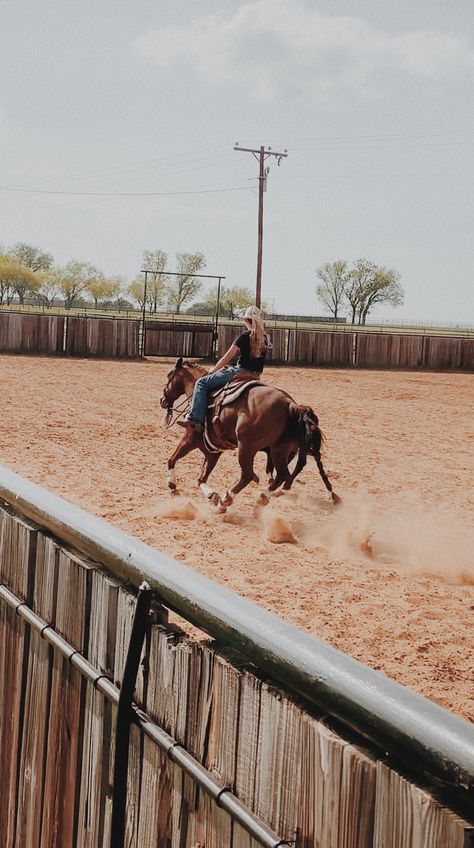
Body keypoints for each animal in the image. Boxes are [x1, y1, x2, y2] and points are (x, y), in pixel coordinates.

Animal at [161, 354, 338, 506]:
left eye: (169, 376)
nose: (163, 400)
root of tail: (291, 405)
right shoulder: (213, 452)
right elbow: (201, 479)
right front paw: (212, 495)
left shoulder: (190, 439)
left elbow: (172, 459)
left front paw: (172, 484)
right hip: (280, 449)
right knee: (283, 473)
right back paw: (265, 495)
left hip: (248, 447)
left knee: (248, 475)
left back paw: (227, 500)